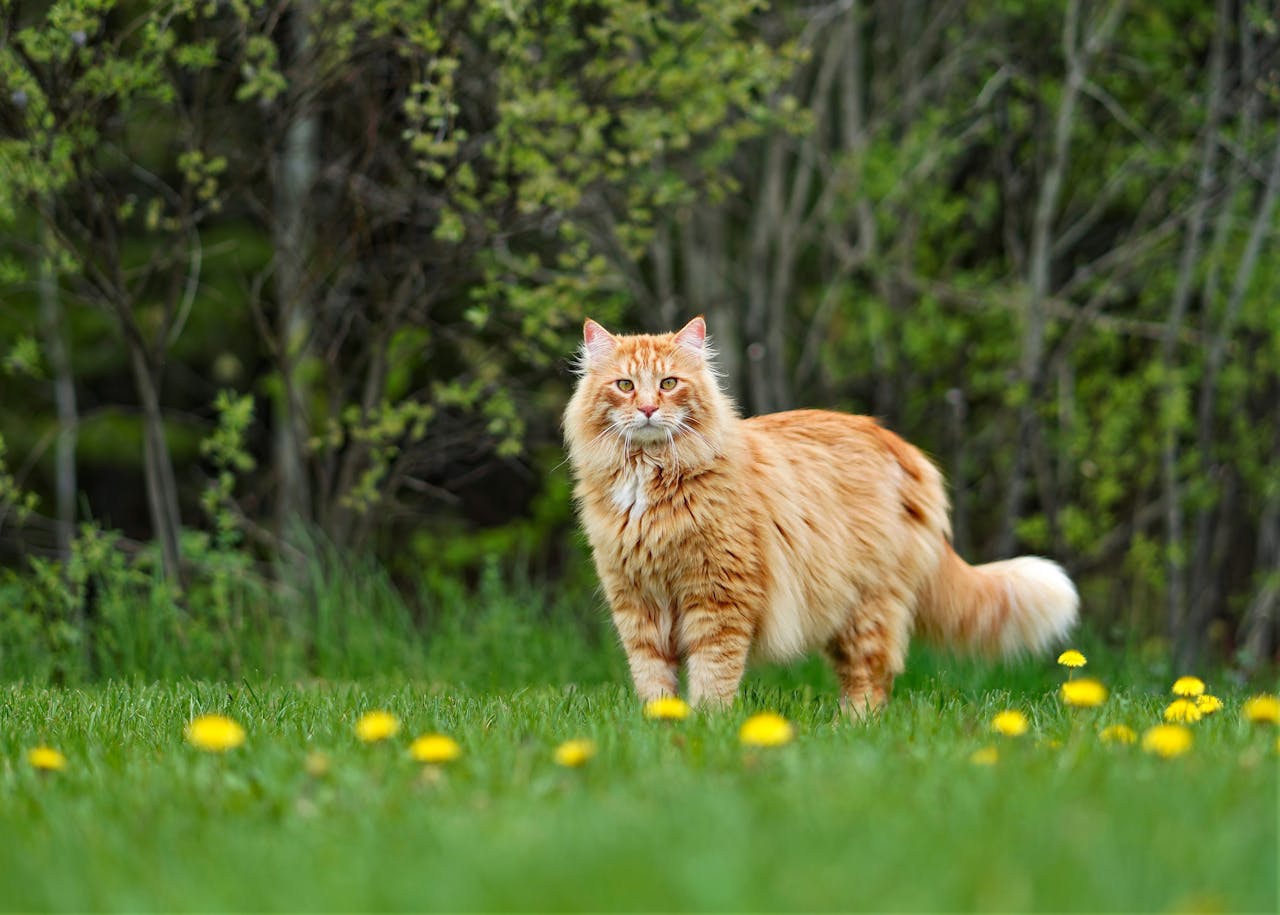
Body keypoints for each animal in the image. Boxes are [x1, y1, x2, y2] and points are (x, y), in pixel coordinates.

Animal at [565, 318, 1075, 711]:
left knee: (872, 681)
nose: (649, 408)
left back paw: (852, 730)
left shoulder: (718, 598)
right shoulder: (636, 603)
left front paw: (708, 725)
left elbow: (713, 675)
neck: (649, 479)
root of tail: (902, 447)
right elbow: (653, 679)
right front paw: (663, 724)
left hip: (866, 606)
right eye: (625, 386)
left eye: (669, 383)